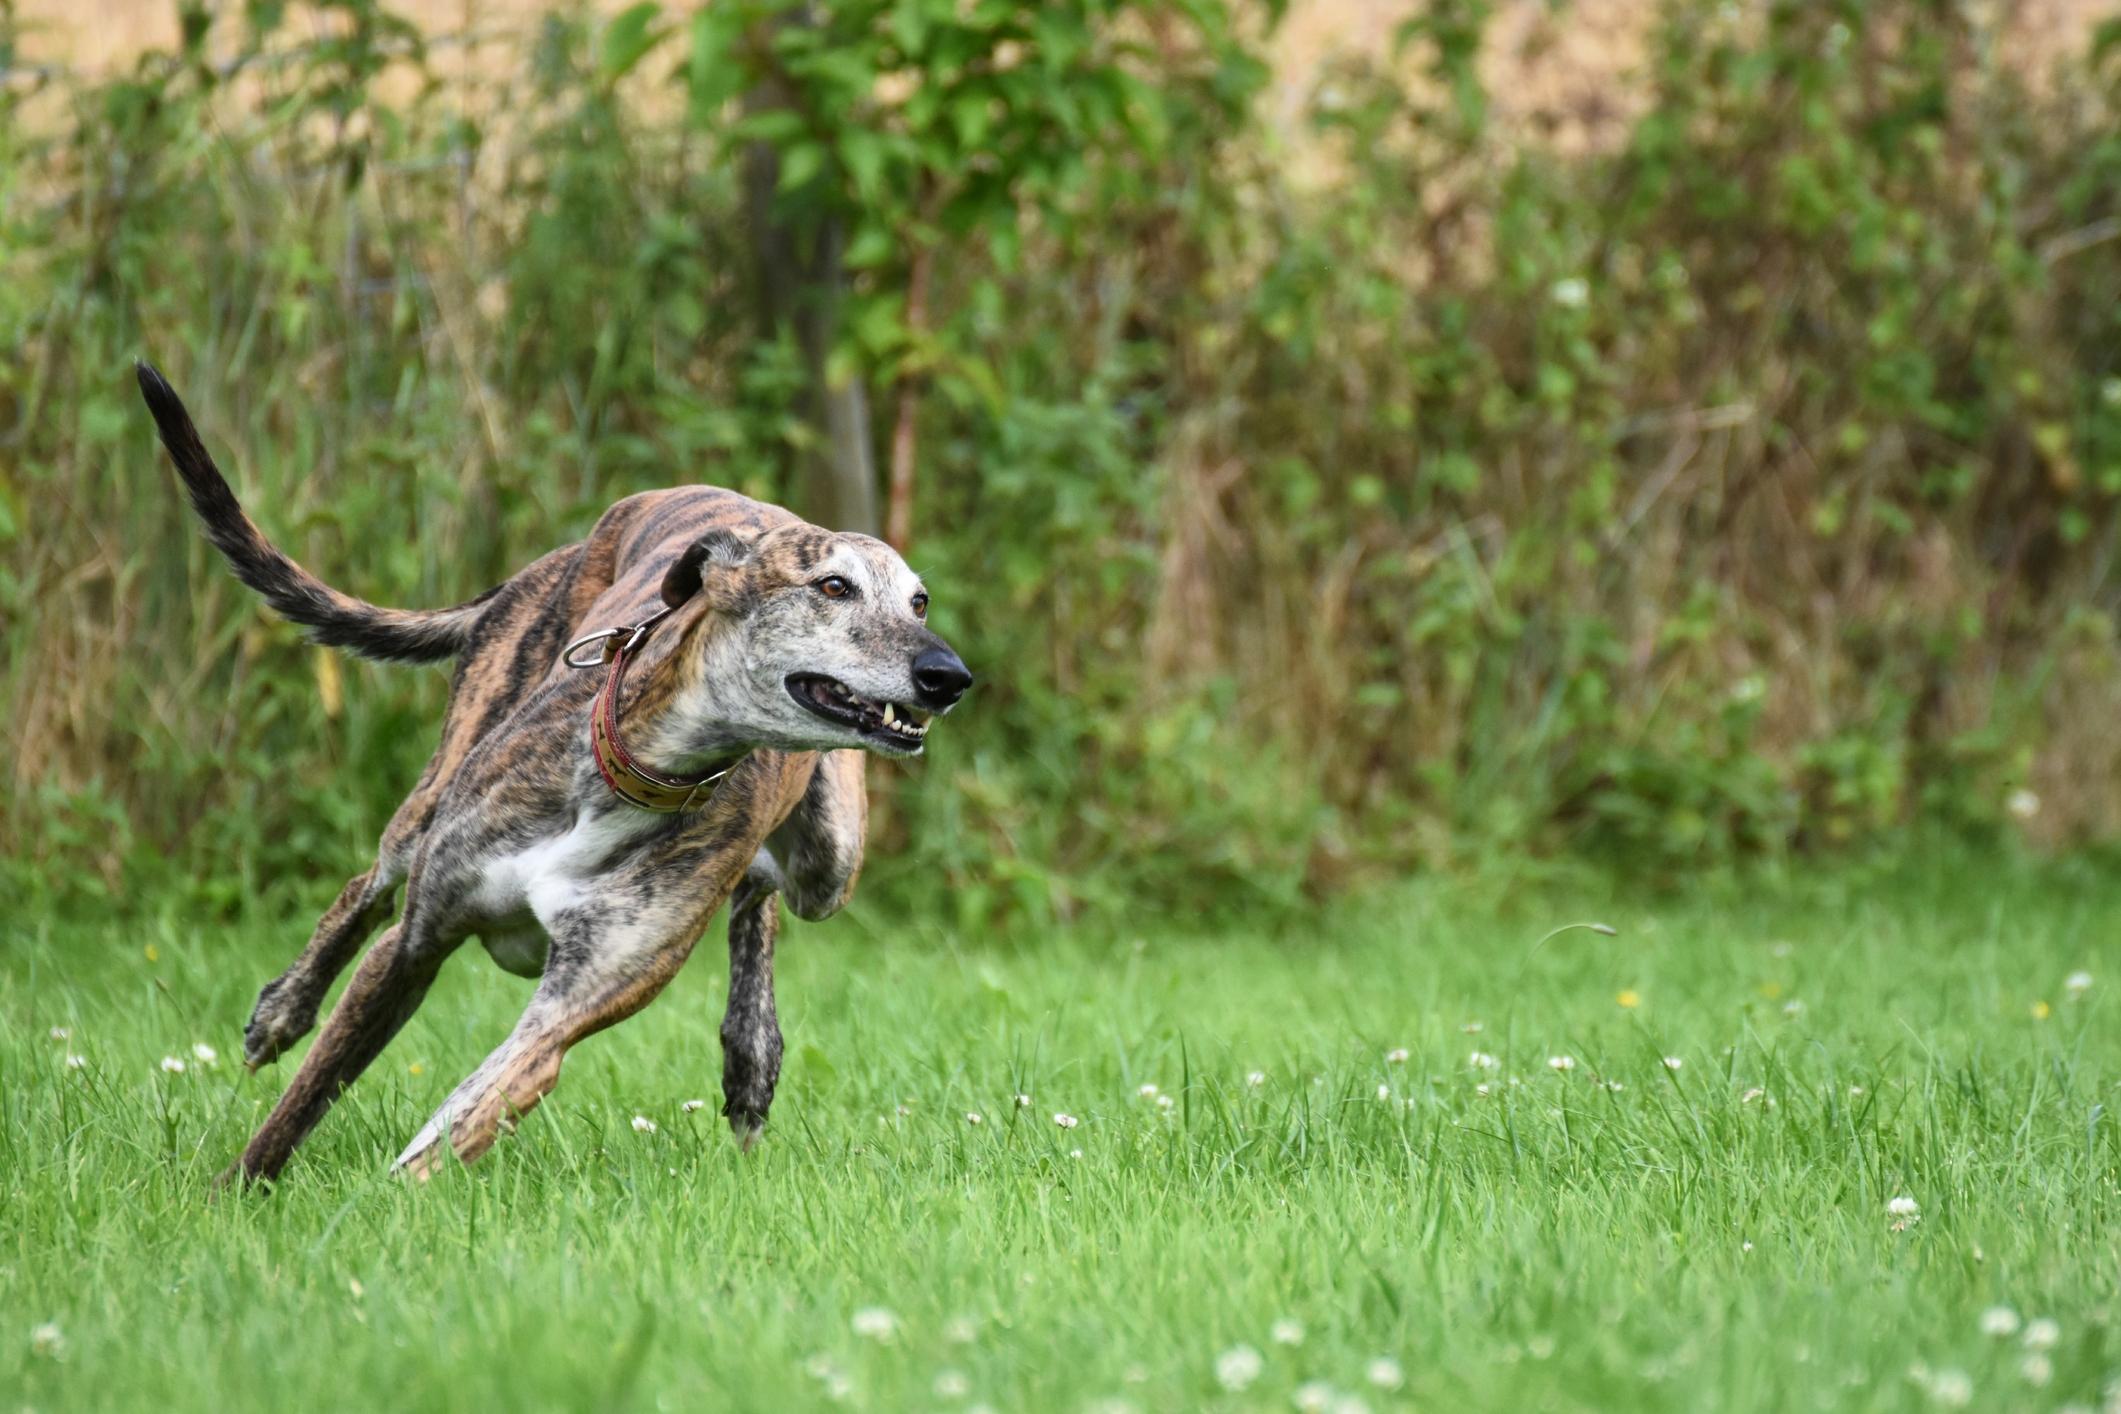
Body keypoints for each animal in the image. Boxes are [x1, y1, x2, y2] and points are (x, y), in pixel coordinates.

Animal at [136, 361, 971, 1185]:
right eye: (832, 586)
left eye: (919, 601)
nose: (949, 677)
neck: (640, 773)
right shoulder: (412, 946)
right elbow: (304, 1097)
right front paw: (233, 1194)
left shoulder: (560, 1017)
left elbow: (455, 1125)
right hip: (440, 785)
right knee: (365, 886)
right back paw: (282, 1010)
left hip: (830, 863)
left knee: (762, 893)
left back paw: (750, 1054)